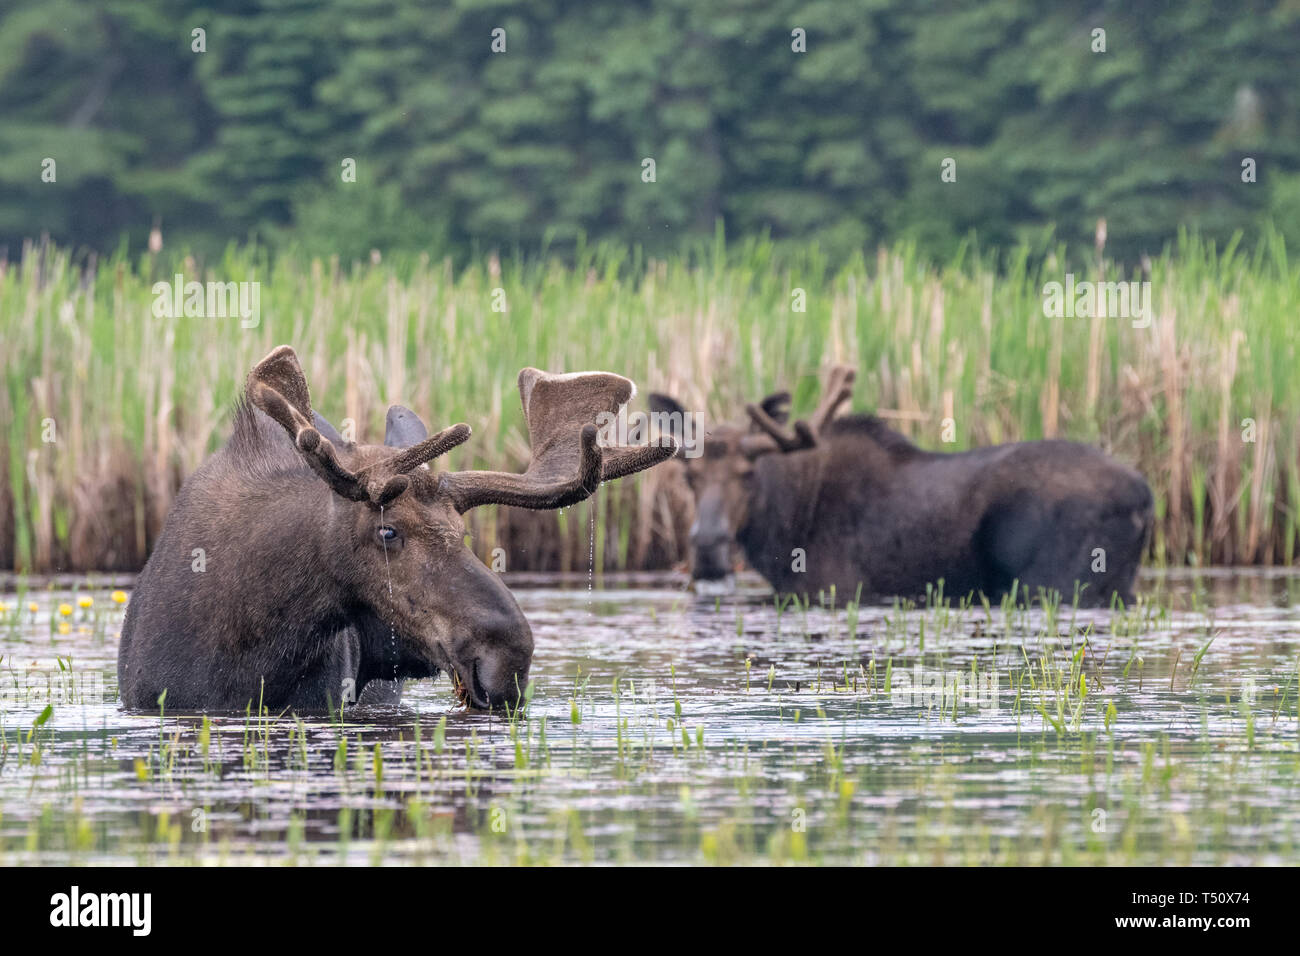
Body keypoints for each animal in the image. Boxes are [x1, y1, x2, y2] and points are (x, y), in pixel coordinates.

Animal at [655, 366, 1154, 606]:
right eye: (688, 477)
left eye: (749, 473)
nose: (707, 547)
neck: (784, 526)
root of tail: (1146, 497)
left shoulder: (833, 586)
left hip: (1058, 582)